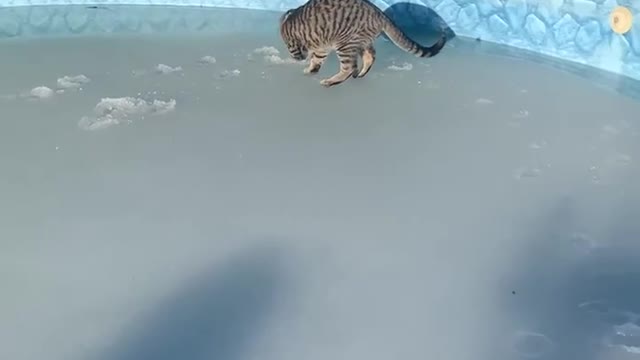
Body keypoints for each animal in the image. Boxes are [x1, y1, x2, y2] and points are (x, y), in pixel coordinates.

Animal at [278, 0, 448, 87]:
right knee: (370, 56)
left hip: (344, 43)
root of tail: (380, 14)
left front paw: (307, 67)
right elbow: (316, 60)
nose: (298, 57)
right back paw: (361, 73)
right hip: (360, 40)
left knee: (349, 67)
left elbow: (311, 57)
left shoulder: (306, 45)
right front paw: (311, 69)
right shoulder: (321, 46)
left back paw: (332, 81)